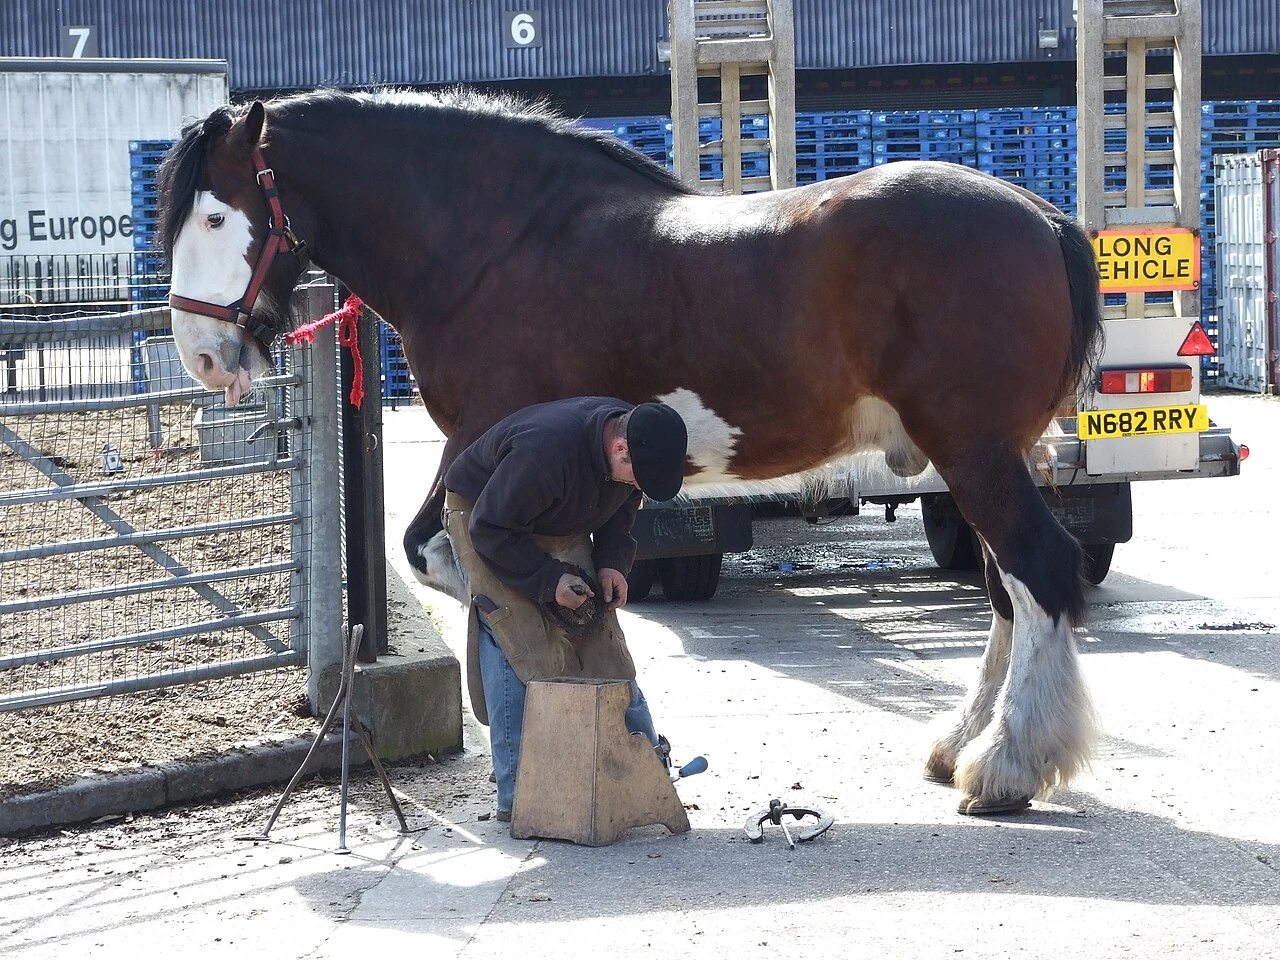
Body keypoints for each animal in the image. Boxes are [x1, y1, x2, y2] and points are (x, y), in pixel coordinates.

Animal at [156, 88, 1103, 816]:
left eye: (217, 213)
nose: (201, 356)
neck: (495, 244)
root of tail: (1042, 216)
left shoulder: (483, 434)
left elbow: (446, 551)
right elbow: (455, 553)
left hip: (974, 451)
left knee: (1040, 573)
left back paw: (1006, 767)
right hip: (985, 456)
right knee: (1007, 592)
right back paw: (962, 744)